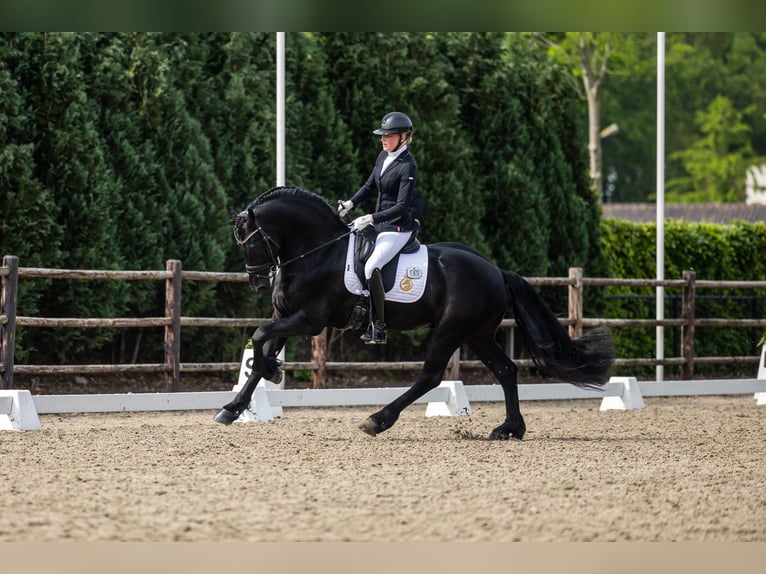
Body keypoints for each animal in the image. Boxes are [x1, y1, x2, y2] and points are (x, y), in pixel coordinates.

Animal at [216, 187, 616, 444]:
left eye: (252, 240)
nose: (256, 280)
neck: (317, 251)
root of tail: (495, 270)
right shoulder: (285, 314)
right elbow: (261, 344)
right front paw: (234, 407)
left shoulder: (310, 320)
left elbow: (259, 337)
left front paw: (268, 372)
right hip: (478, 335)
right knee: (506, 370)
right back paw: (509, 429)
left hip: (449, 331)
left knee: (430, 376)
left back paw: (377, 420)